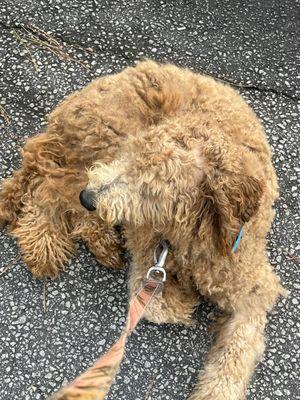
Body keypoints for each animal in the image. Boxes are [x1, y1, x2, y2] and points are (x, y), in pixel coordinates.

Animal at [0, 61, 284, 398]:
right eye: (130, 154)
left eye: (150, 189)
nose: (89, 197)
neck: (195, 231)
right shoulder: (148, 259)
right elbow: (160, 306)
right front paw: (183, 299)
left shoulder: (252, 292)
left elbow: (234, 356)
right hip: (101, 137)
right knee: (47, 185)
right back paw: (46, 244)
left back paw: (99, 239)